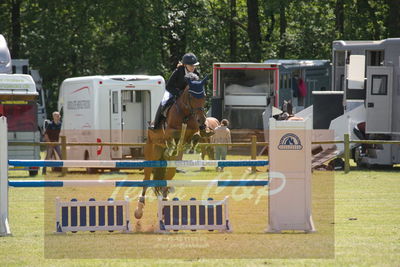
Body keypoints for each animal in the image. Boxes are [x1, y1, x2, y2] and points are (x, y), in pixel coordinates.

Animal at [136, 76, 208, 220]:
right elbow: (174, 135)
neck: (186, 113)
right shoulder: (169, 131)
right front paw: (173, 147)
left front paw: (192, 146)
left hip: (172, 166)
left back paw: (165, 202)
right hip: (152, 155)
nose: (202, 121)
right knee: (146, 179)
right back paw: (139, 209)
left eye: (204, 96)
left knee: (166, 179)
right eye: (191, 97)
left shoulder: (193, 130)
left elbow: (195, 135)